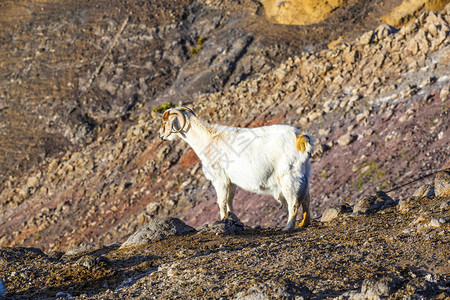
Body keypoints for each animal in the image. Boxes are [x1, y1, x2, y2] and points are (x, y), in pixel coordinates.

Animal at [159, 107, 312, 230]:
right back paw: (304, 223)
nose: (161, 136)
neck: (208, 139)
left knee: (293, 202)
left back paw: (288, 227)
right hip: (304, 175)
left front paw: (223, 219)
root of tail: (300, 139)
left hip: (288, 177)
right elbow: (229, 200)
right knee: (306, 199)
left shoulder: (219, 180)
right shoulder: (230, 181)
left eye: (165, 122)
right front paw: (231, 218)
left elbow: (221, 201)